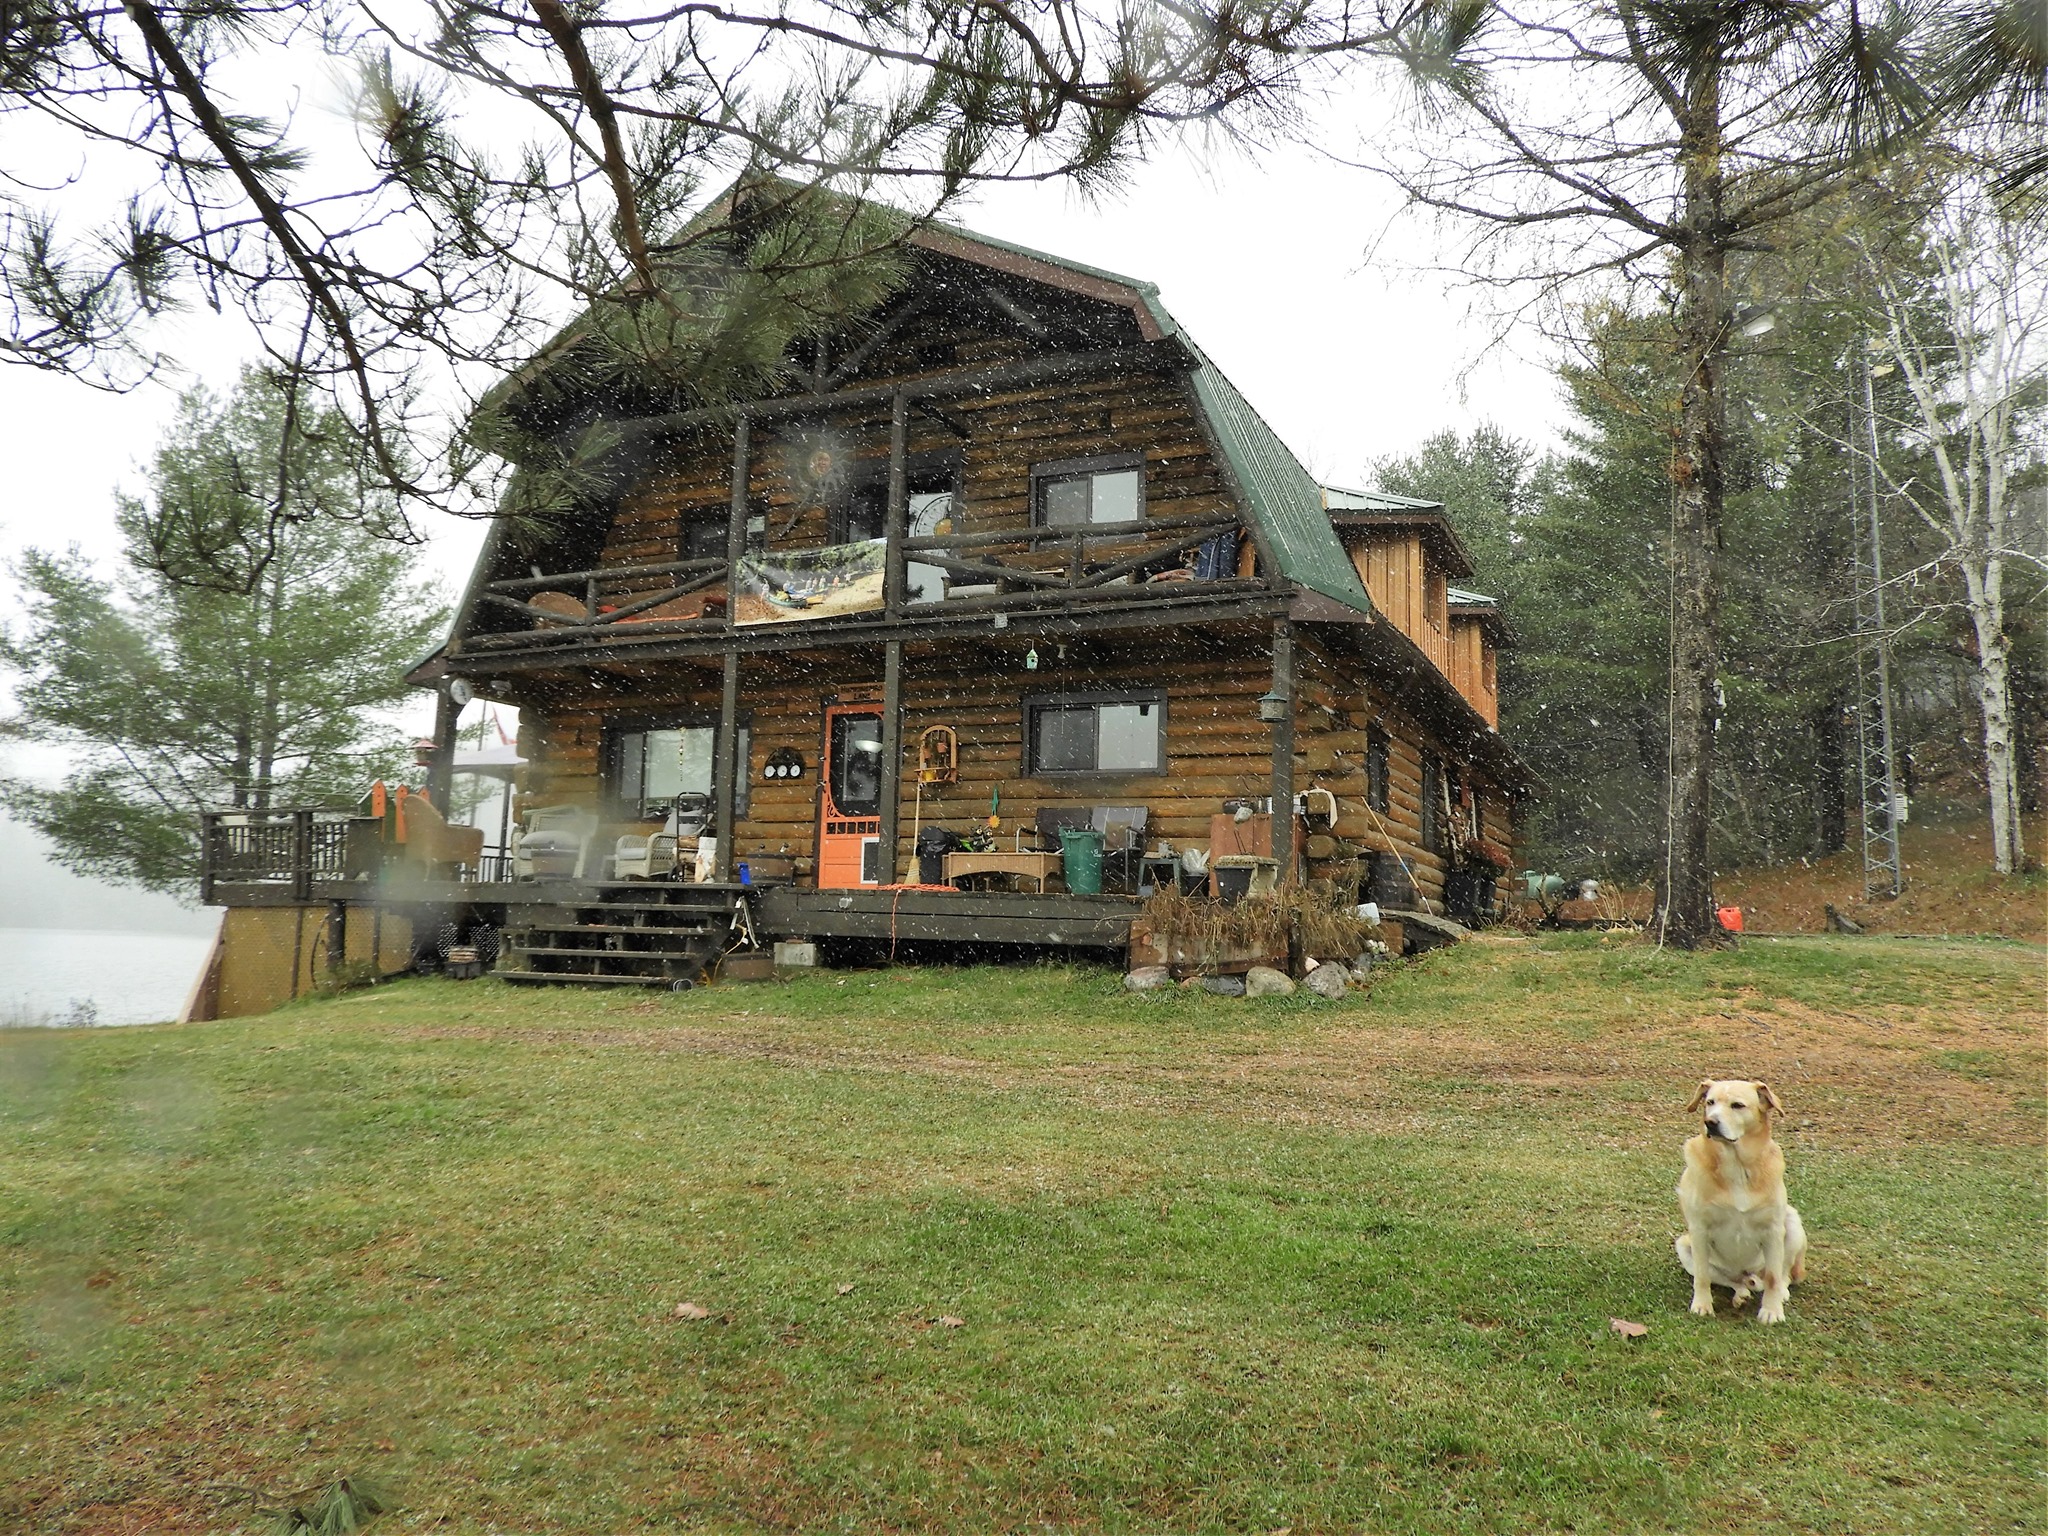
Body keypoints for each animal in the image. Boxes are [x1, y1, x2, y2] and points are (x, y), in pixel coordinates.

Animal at [1679, 1081, 1810, 1327]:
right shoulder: (1699, 1230)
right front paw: (1702, 1306)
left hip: (1792, 1223)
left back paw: (1780, 1292)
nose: (1710, 1122)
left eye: (1737, 1105)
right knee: (1731, 1281)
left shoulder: (1773, 1230)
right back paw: (1741, 1294)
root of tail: (1747, 1274)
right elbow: (1702, 1276)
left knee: (1783, 1275)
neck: (1736, 1167)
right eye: (1710, 1102)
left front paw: (1771, 1311)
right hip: (1684, 1246)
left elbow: (1773, 1278)